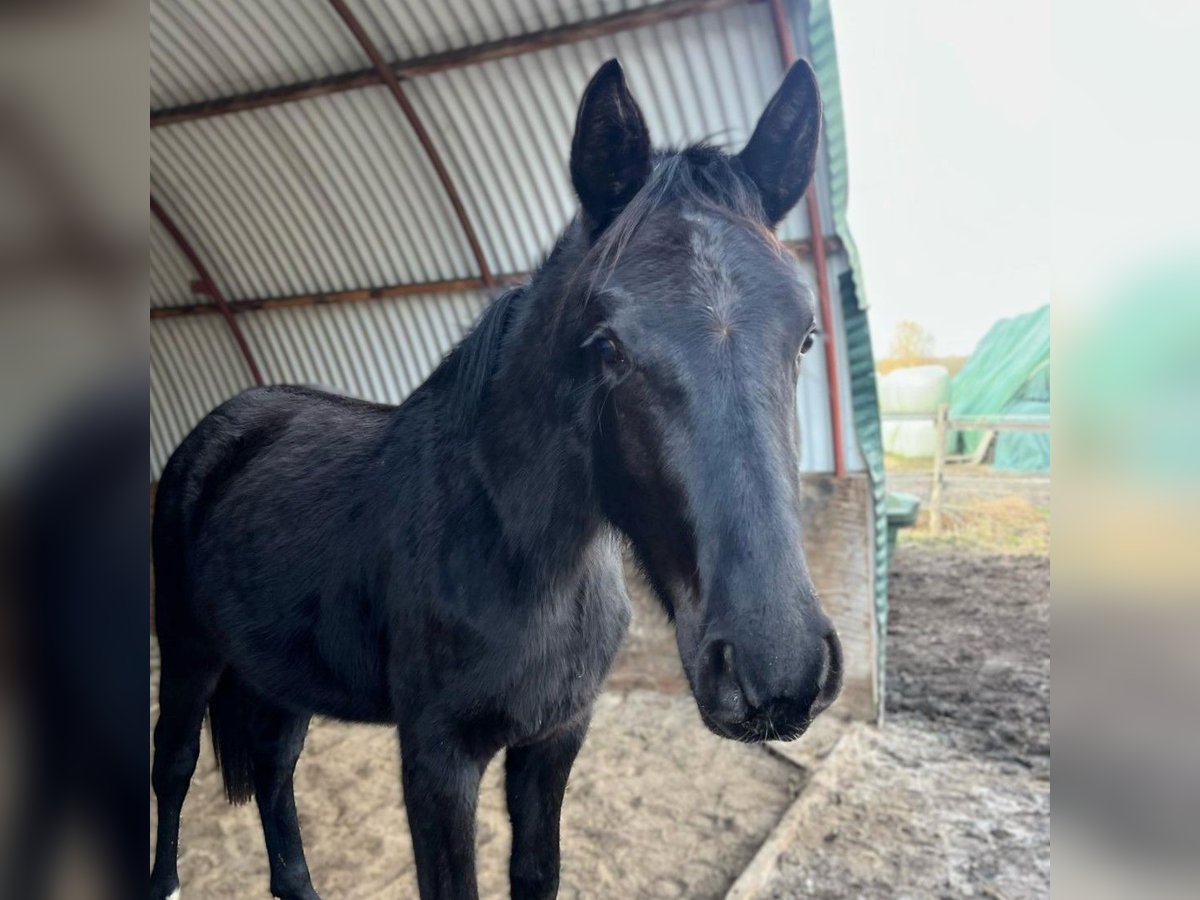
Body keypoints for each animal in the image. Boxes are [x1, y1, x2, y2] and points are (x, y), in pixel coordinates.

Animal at [150, 60, 844, 897]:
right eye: (608, 345)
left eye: (805, 334)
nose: (778, 669)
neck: (511, 552)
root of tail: (222, 426)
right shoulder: (437, 762)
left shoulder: (555, 741)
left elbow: (537, 872)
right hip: (187, 649)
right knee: (173, 765)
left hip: (279, 671)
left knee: (275, 770)